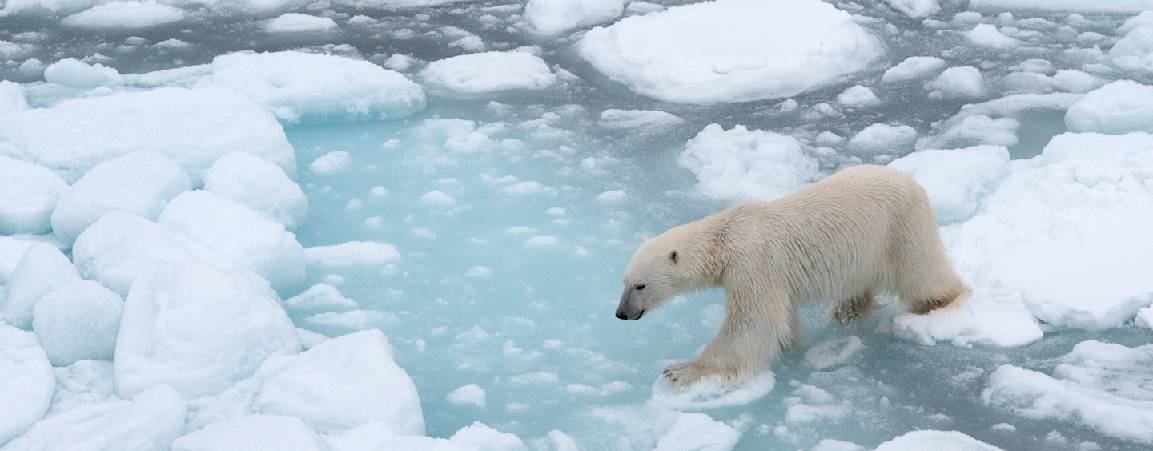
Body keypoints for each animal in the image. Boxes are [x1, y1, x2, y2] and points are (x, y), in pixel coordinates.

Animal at [618, 164, 968, 387]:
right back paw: (847, 310)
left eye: (640, 285)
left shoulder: (753, 263)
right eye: (624, 282)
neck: (725, 237)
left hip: (901, 226)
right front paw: (790, 345)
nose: (621, 313)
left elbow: (751, 321)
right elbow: (781, 316)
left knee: (921, 272)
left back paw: (938, 303)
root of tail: (912, 180)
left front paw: (682, 370)